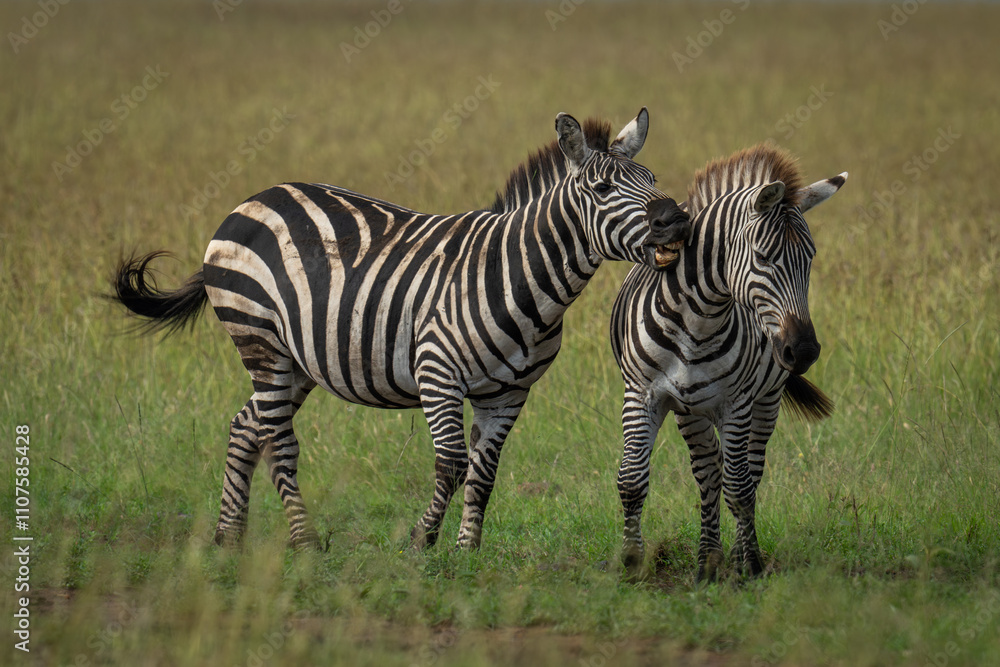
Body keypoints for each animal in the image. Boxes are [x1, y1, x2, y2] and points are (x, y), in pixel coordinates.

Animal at [112, 109, 692, 551]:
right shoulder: (437, 371)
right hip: (260, 339)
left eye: (652, 181)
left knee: (245, 426)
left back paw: (229, 537)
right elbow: (452, 465)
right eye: (603, 188)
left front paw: (467, 551)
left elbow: (484, 473)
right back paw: (303, 542)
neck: (521, 276)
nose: (676, 219)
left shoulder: (509, 392)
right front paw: (423, 540)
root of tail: (252, 199)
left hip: (297, 360)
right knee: (277, 440)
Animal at [609, 144, 846, 582]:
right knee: (708, 472)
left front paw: (748, 564)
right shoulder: (642, 393)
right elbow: (632, 480)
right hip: (691, 410)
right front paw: (632, 564)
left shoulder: (737, 402)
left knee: (749, 472)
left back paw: (733, 557)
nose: (803, 351)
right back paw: (707, 562)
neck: (697, 322)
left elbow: (740, 487)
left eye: (810, 259)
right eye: (763, 257)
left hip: (765, 401)